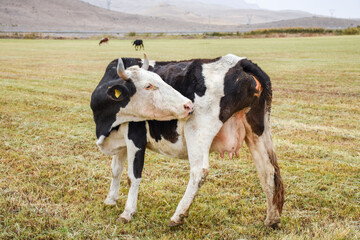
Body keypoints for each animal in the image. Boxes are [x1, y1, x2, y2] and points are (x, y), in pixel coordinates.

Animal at [90, 54, 284, 229]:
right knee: (267, 170)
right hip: (257, 130)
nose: (188, 105)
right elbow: (116, 170)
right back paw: (272, 219)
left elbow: (133, 175)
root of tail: (240, 63)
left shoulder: (135, 138)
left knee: (199, 171)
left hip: (197, 132)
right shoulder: (120, 142)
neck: (106, 123)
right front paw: (110, 200)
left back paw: (178, 216)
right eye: (148, 85)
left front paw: (127, 212)